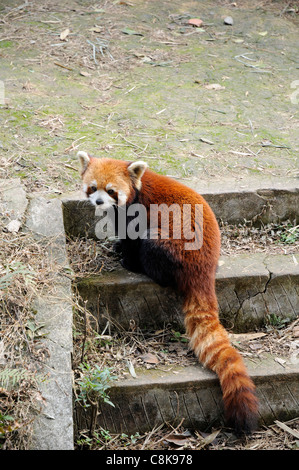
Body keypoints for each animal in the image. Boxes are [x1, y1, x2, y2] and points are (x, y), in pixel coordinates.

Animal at [78, 151, 258, 434]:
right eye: (93, 188)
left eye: (111, 190)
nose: (97, 202)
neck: (138, 188)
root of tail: (204, 269)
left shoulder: (136, 213)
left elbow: (131, 239)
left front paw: (125, 258)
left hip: (172, 247)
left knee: (152, 246)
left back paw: (142, 268)